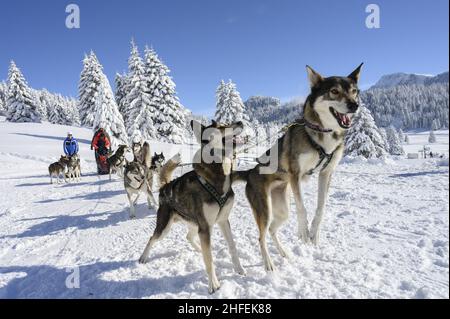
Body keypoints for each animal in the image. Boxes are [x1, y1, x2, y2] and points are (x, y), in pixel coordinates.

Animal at [141, 120, 246, 296]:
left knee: (189, 237)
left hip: (196, 224)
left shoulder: (223, 221)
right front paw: (214, 285)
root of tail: (165, 187)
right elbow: (209, 260)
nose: (240, 122)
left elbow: (232, 246)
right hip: (167, 227)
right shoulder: (205, 228)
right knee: (151, 238)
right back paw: (143, 257)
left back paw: (198, 248)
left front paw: (239, 269)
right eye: (221, 126)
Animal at [234, 63, 364, 272]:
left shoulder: (326, 174)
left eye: (354, 91)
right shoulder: (295, 175)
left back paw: (283, 253)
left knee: (272, 230)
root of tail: (250, 172)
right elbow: (302, 207)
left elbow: (321, 207)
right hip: (265, 210)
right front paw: (303, 231)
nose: (354, 105)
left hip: (282, 210)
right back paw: (268, 264)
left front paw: (314, 233)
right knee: (261, 236)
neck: (322, 133)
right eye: (334, 91)